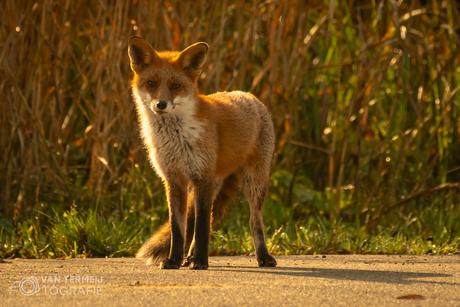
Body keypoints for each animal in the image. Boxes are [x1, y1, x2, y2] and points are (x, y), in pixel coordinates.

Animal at [126, 36, 276, 270]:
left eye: (176, 86)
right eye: (151, 83)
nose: (161, 104)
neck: (175, 140)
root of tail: (250, 95)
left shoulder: (201, 177)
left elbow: (202, 225)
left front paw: (200, 261)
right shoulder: (174, 180)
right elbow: (178, 228)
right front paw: (174, 260)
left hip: (255, 183)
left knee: (254, 220)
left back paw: (263, 257)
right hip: (214, 184)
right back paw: (188, 257)